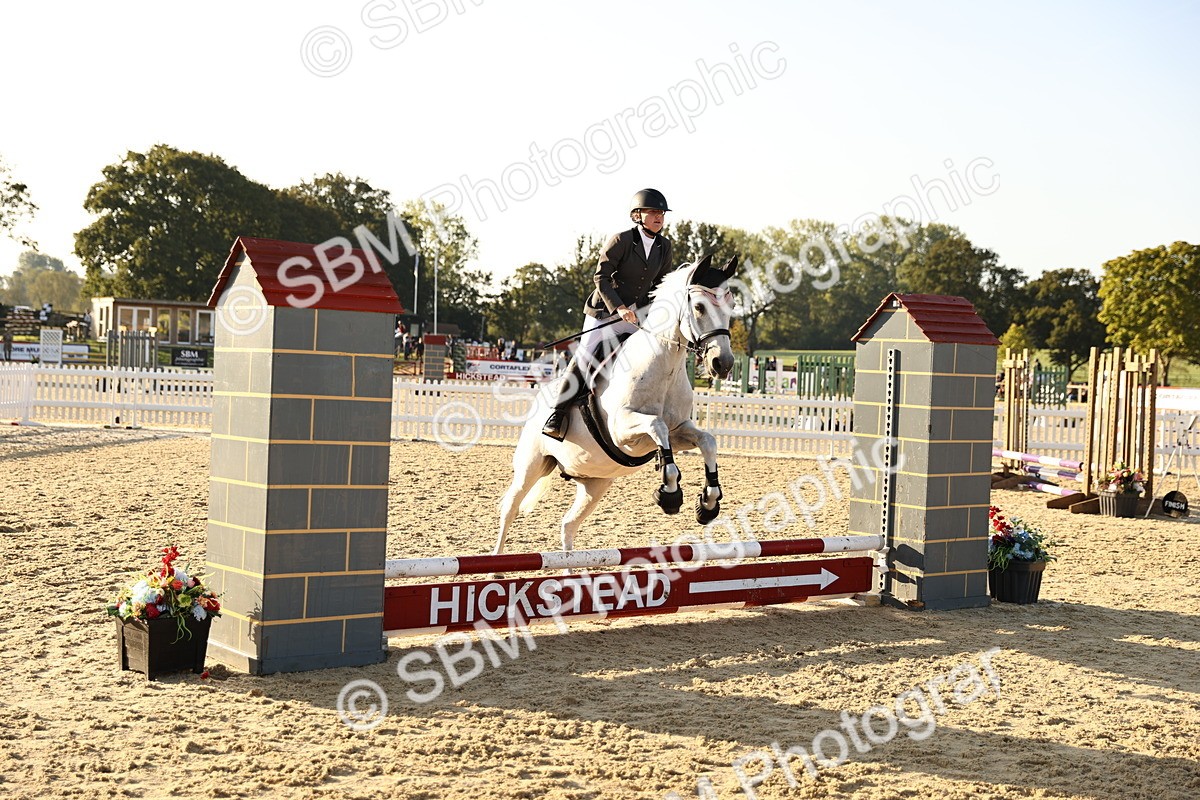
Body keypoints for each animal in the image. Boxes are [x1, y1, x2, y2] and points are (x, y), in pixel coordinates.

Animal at [494, 253, 738, 555]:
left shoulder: (679, 430)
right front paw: (670, 493)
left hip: (595, 484)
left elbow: (707, 441)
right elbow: (657, 426)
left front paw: (708, 502)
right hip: (531, 466)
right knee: (510, 509)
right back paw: (496, 562)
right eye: (700, 307)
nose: (723, 364)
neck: (664, 365)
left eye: (731, 306)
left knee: (568, 524)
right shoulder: (623, 431)